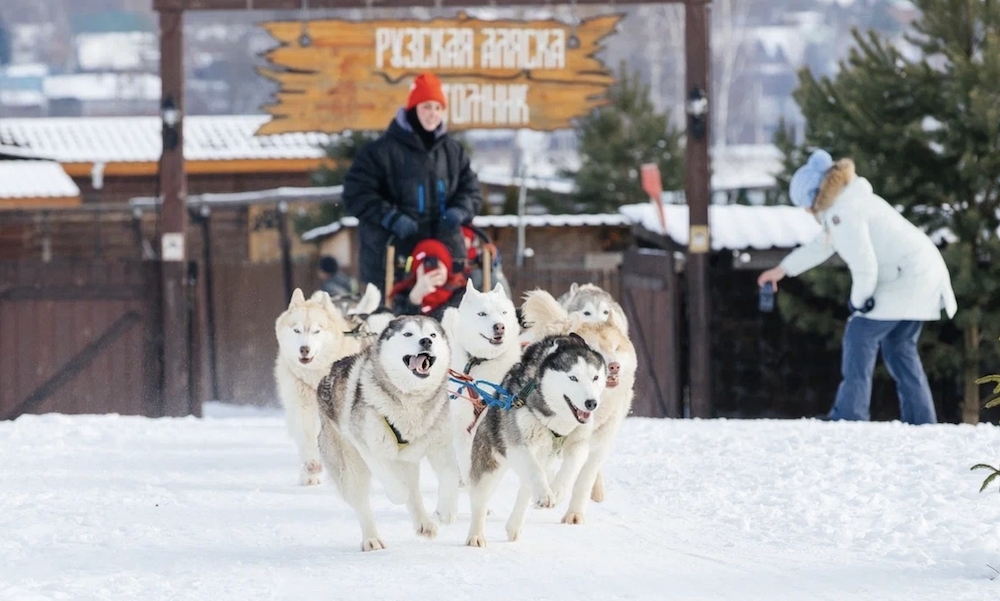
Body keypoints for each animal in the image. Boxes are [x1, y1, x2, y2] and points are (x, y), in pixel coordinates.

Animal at [274, 288, 364, 488]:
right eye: (297, 330)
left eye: (316, 331)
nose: (304, 349)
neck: (315, 377)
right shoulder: (302, 408)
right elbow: (308, 440)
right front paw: (312, 466)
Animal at [314, 316, 458, 552]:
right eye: (408, 334)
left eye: (433, 334)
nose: (426, 341)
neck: (410, 400)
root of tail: (327, 374)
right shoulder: (367, 447)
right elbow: (390, 480)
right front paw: (398, 494)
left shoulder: (440, 444)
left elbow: (450, 474)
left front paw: (447, 510)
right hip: (351, 467)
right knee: (363, 502)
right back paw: (371, 538)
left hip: (408, 460)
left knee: (414, 490)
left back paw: (424, 523)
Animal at [462, 336, 608, 548]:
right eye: (573, 378)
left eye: (595, 377)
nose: (591, 403)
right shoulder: (518, 446)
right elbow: (534, 470)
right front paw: (548, 494)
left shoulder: (579, 442)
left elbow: (572, 465)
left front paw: (557, 490)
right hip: (490, 465)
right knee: (480, 501)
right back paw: (476, 536)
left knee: (527, 489)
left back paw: (516, 524)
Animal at [520, 288, 636, 524]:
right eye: (594, 349)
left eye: (616, 348)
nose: (614, 366)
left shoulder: (595, 444)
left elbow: (583, 477)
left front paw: (574, 514)